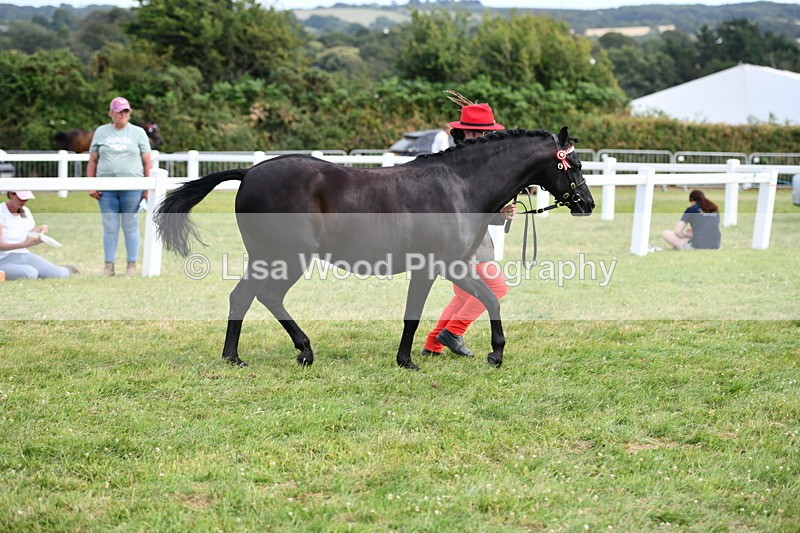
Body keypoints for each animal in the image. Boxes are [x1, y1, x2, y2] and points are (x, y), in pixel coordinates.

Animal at [154, 126, 594, 371]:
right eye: (572, 165)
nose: (586, 203)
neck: (458, 186)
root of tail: (249, 172)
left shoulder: (455, 265)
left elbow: (490, 299)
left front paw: (495, 355)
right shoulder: (430, 266)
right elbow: (415, 315)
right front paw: (408, 361)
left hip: (267, 257)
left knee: (242, 297)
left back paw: (235, 357)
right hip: (288, 258)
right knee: (265, 296)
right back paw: (303, 351)